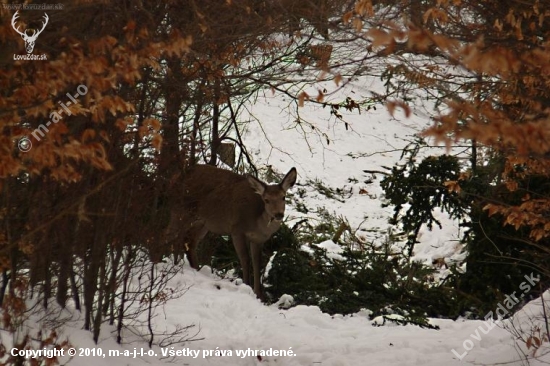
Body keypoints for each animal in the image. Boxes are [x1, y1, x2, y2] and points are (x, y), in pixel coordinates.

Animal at [167, 165, 298, 298]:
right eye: (266, 200)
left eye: (283, 197)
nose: (278, 214)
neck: (256, 222)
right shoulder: (237, 230)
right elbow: (245, 260)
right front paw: (247, 287)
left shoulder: (258, 239)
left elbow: (257, 264)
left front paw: (259, 295)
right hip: (180, 210)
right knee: (171, 235)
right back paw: (170, 265)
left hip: (202, 222)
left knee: (188, 242)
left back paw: (194, 268)